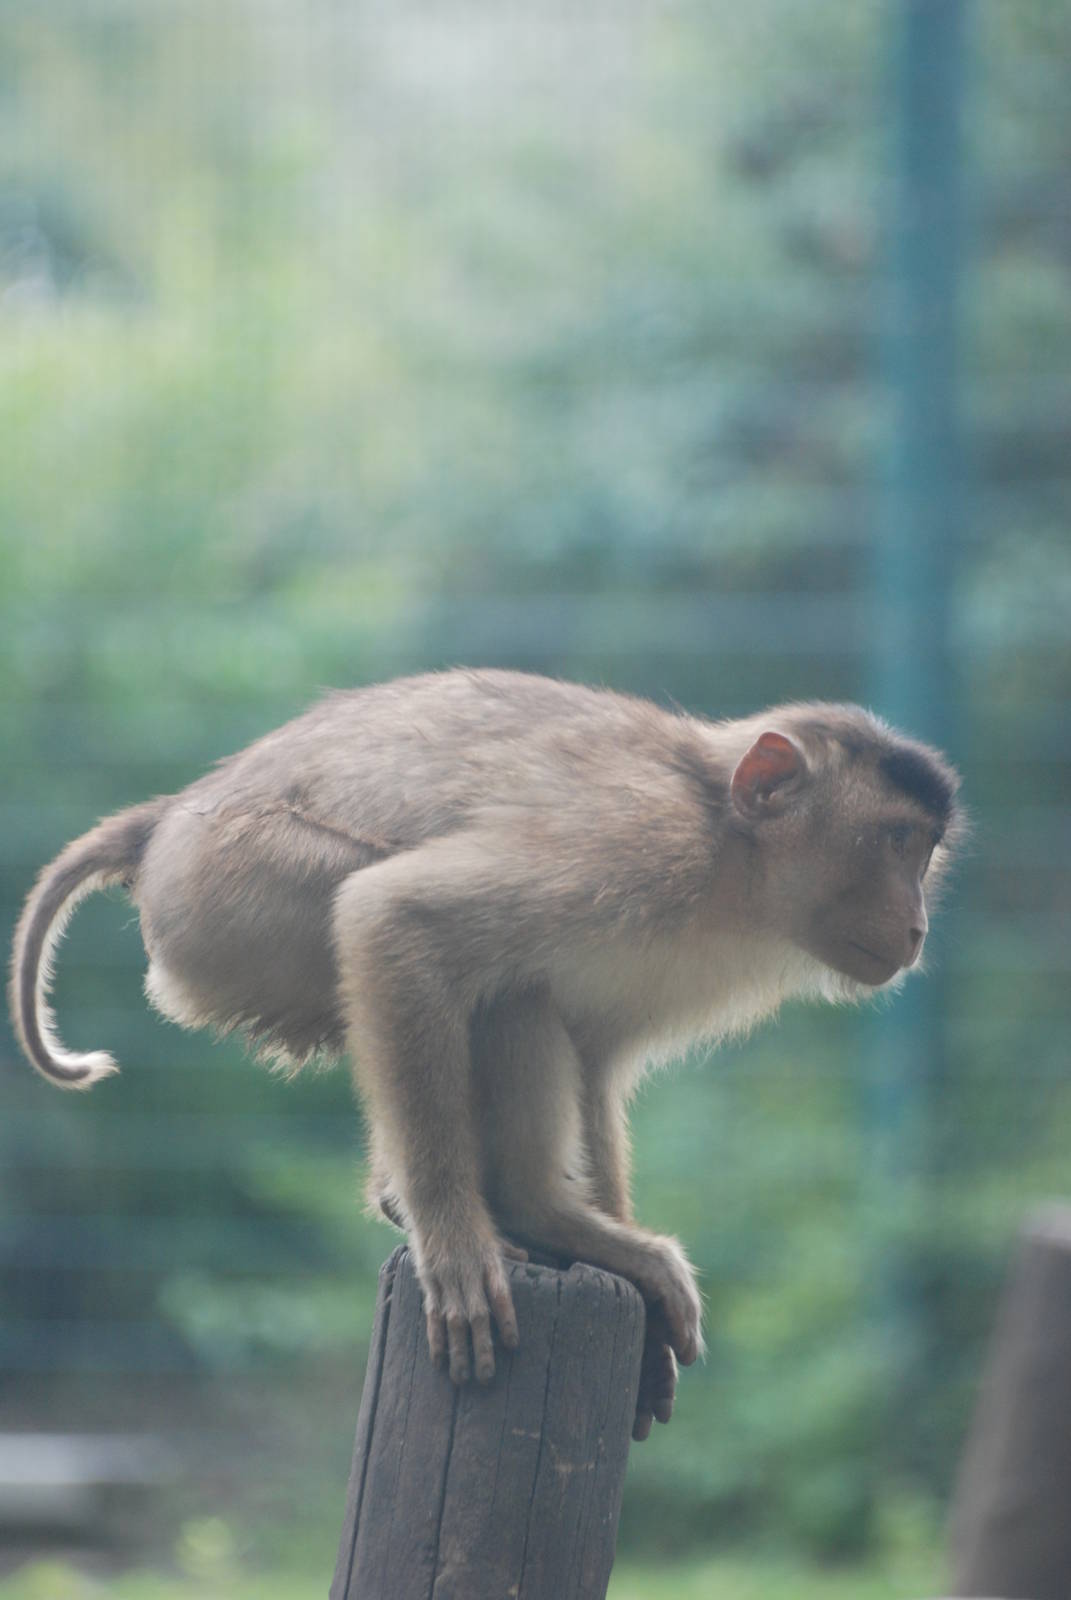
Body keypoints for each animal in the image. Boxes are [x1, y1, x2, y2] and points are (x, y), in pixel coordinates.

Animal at [10, 669, 962, 1440]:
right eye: (891, 842)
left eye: (923, 853)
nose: (917, 927)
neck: (728, 847)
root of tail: (169, 818)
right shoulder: (634, 844)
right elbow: (393, 917)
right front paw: (456, 1237)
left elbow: (596, 1054)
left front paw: (644, 1325)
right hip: (231, 900)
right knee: (496, 979)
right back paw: (520, 1208)